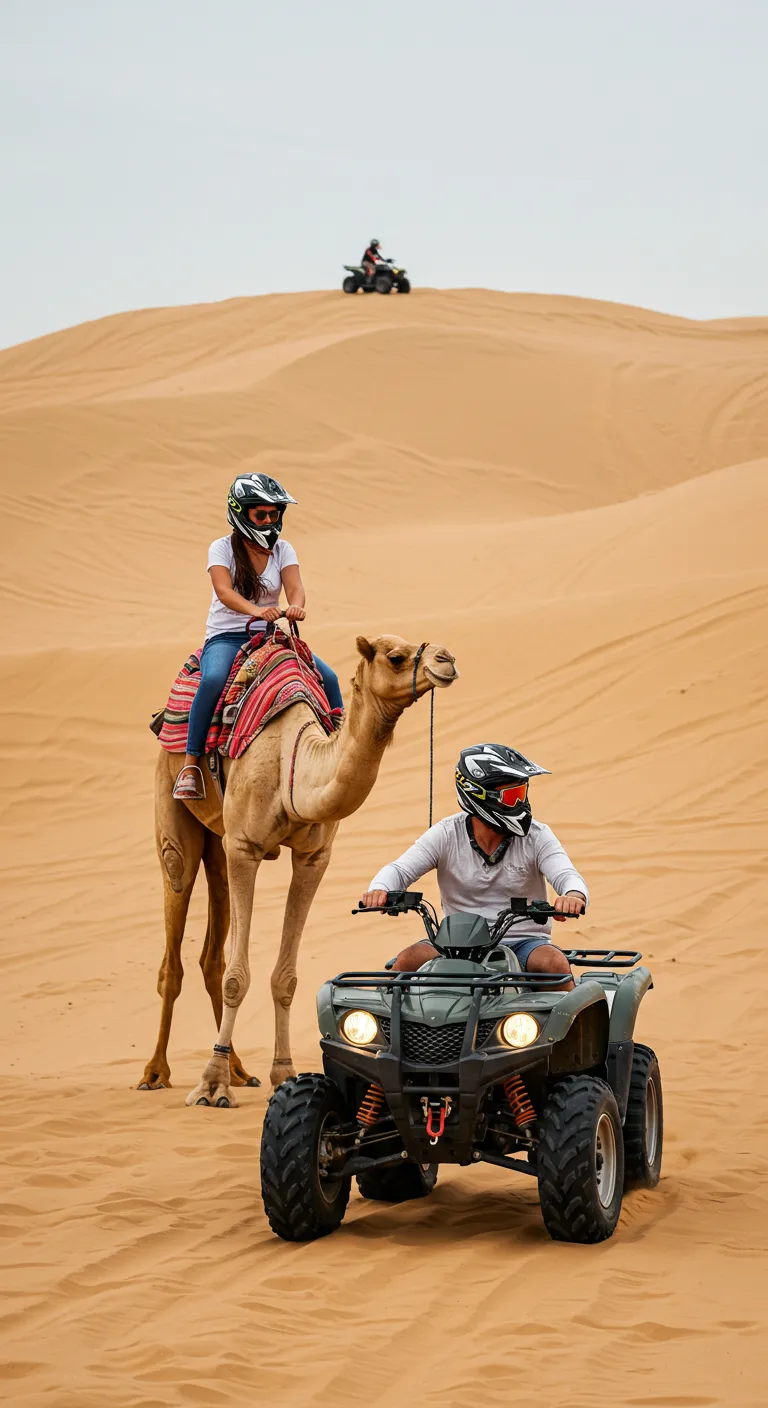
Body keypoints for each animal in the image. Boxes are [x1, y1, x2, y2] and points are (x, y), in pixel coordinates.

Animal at [139, 631, 458, 1106]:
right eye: (396, 657)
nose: (447, 659)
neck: (292, 766)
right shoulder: (245, 847)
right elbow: (237, 977)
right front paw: (211, 1085)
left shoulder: (313, 857)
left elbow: (284, 978)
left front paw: (281, 1073)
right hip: (175, 802)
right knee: (174, 926)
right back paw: (157, 1072)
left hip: (218, 843)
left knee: (211, 951)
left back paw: (240, 1070)